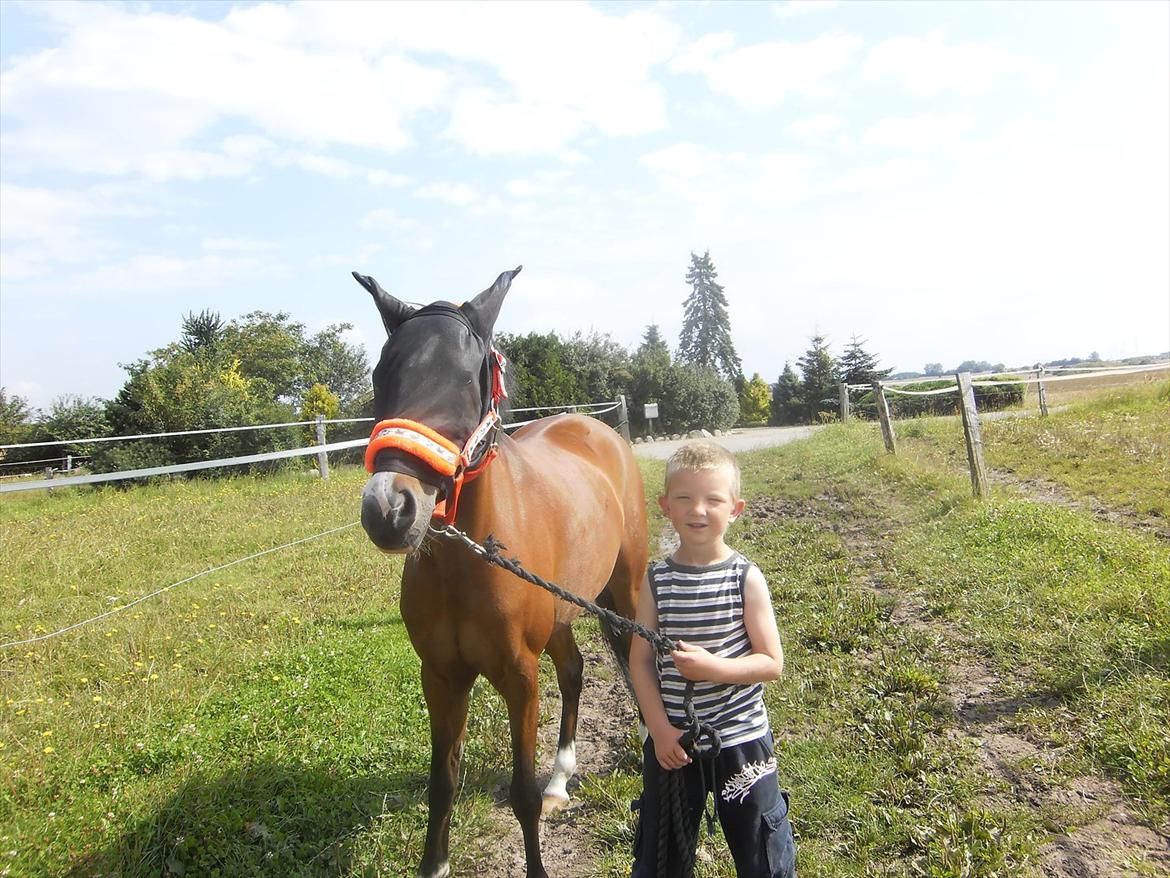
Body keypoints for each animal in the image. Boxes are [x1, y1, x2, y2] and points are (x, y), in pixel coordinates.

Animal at [353, 266, 648, 878]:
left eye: (470, 376)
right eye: (380, 372)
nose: (389, 510)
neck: (466, 562)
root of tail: (597, 429)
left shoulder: (519, 677)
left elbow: (522, 794)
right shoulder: (441, 677)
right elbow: (442, 782)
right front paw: (435, 865)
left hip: (625, 589)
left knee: (632, 650)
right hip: (562, 613)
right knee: (575, 672)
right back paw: (562, 775)